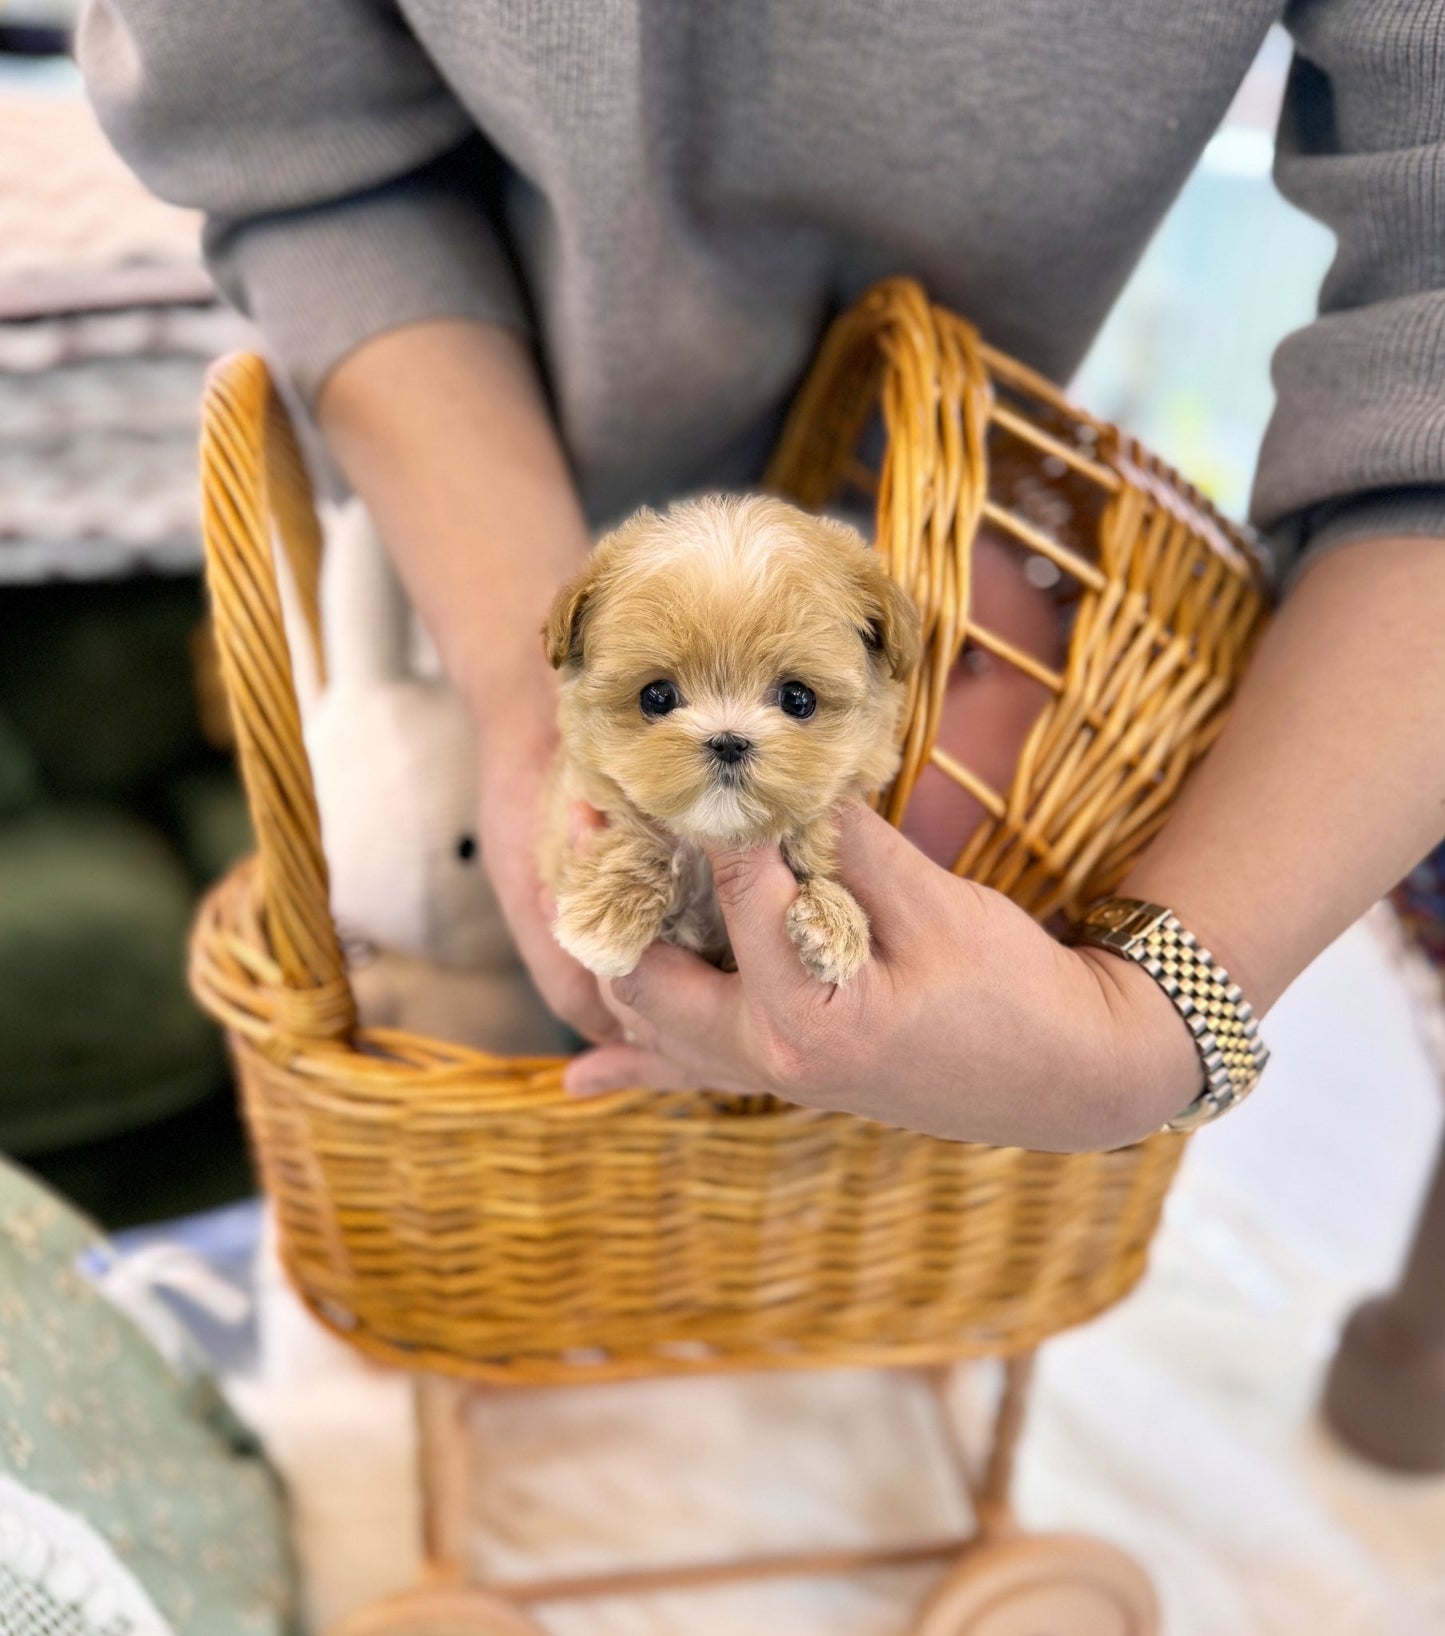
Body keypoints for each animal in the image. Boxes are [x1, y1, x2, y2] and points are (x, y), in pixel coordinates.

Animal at [536, 494, 922, 981]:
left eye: (798, 698)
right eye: (656, 696)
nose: (728, 741)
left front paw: (836, 919)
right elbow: (640, 833)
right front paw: (608, 916)